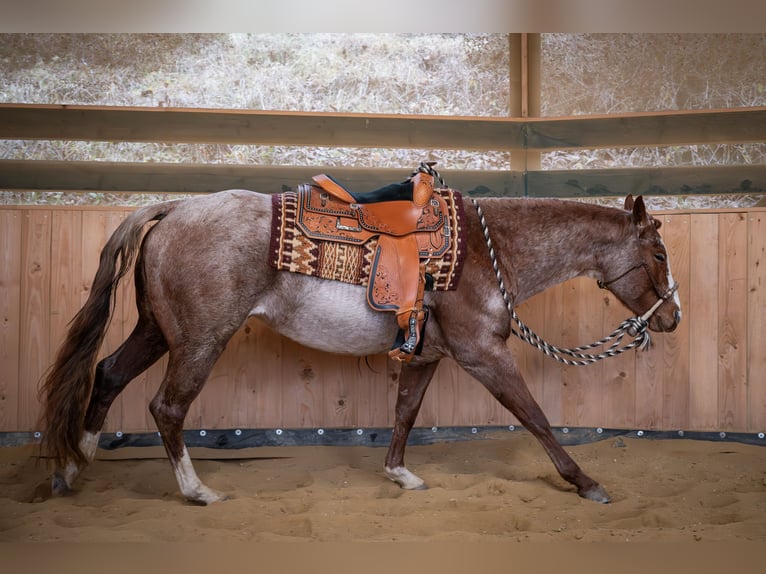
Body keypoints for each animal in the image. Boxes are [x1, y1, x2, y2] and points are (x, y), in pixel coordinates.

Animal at [39, 178, 681, 505]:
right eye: (658, 253)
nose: (672, 317)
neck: (487, 249)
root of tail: (174, 208)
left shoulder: (427, 355)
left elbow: (404, 413)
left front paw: (400, 475)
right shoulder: (483, 353)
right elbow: (535, 417)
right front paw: (586, 482)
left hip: (156, 328)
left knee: (108, 373)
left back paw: (74, 468)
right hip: (199, 339)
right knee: (166, 407)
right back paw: (196, 490)